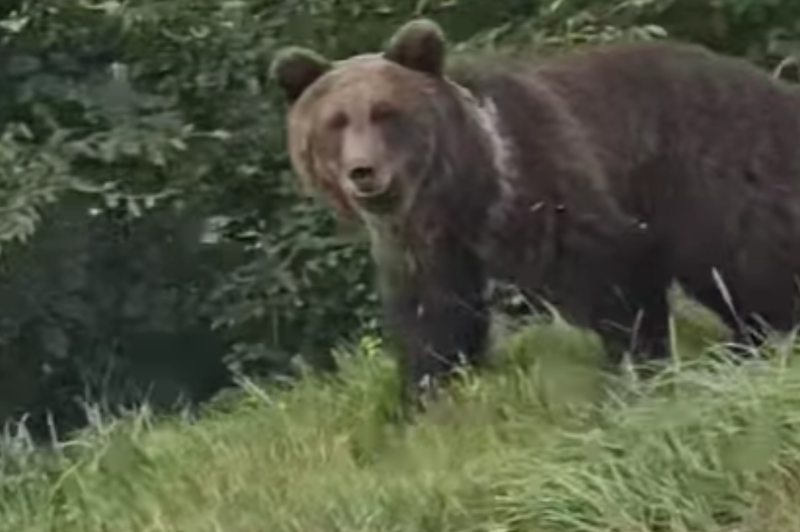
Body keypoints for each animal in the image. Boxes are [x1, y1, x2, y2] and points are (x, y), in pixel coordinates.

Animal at [272, 17, 800, 404]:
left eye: (385, 112)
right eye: (335, 122)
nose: (363, 171)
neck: (462, 192)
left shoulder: (544, 182)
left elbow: (614, 273)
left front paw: (638, 367)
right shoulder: (422, 245)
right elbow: (433, 321)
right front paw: (427, 397)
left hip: (712, 168)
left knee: (744, 261)